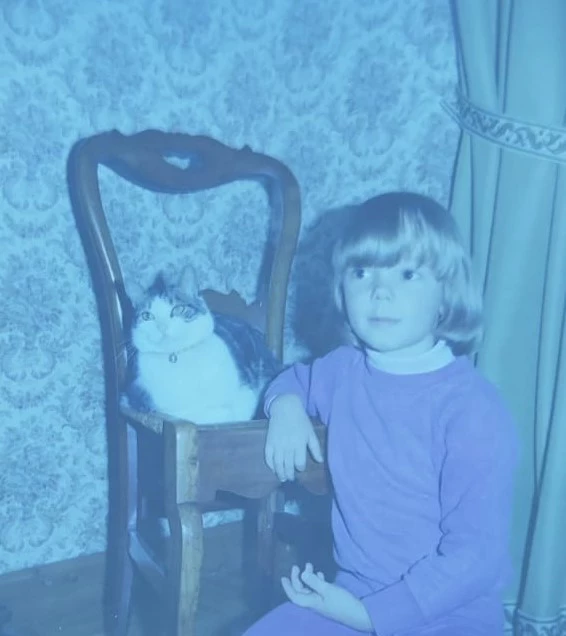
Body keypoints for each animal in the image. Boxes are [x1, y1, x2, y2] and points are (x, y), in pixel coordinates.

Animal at [123, 267, 282, 425]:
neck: (176, 357)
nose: (162, 327)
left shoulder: (245, 393)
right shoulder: (138, 396)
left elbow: (237, 409)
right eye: (147, 316)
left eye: (178, 309)